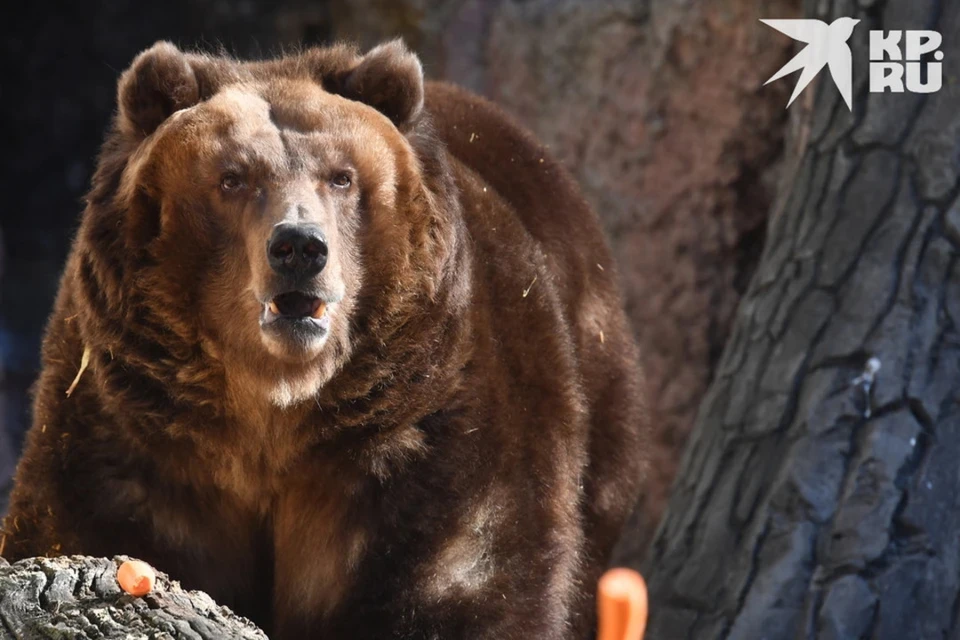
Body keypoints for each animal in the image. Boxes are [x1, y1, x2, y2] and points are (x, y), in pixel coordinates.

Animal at [1, 40, 649, 639]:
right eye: (232, 178)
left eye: (341, 176)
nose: (299, 247)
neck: (275, 412)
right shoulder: (135, 433)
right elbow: (87, 529)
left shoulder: (431, 435)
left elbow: (467, 583)